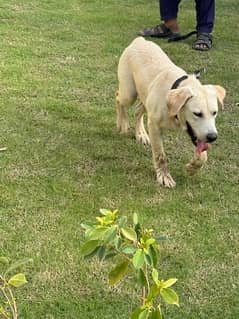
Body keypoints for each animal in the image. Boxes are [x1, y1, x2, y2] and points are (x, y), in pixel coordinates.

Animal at [116, 36, 226, 189]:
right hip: (129, 93)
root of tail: (140, 40)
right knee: (118, 97)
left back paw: (141, 134)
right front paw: (164, 176)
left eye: (214, 113)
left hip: (145, 97)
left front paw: (193, 167)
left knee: (137, 111)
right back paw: (123, 123)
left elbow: (203, 155)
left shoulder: (197, 134)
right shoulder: (154, 126)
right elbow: (160, 155)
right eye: (197, 114)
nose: (212, 137)